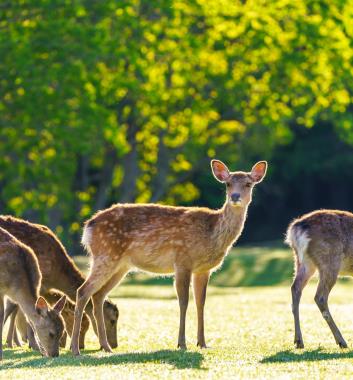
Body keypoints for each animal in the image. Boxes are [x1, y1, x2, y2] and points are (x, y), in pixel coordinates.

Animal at [70, 159, 266, 354]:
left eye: (248, 184)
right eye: (227, 184)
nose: (235, 196)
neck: (212, 233)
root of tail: (88, 226)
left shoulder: (203, 269)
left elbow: (201, 302)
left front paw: (202, 343)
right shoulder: (182, 260)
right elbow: (184, 302)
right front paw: (182, 344)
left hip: (120, 265)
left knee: (98, 295)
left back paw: (106, 346)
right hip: (106, 255)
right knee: (83, 291)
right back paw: (75, 349)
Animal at [284, 209, 352, 348]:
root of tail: (295, 229)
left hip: (303, 262)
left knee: (295, 288)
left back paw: (299, 341)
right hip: (329, 260)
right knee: (320, 297)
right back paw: (341, 341)